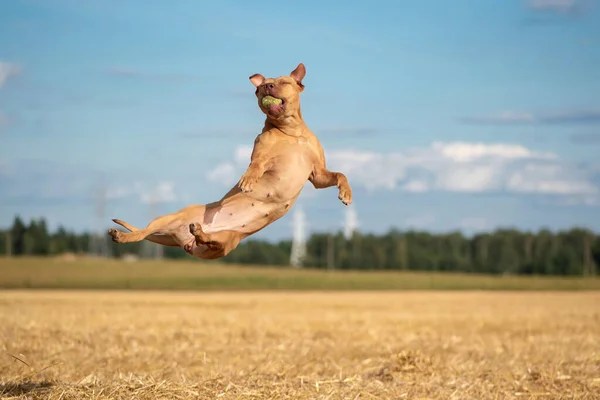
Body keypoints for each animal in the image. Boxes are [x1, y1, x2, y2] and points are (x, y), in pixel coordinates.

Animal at [107, 63, 352, 260]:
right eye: (260, 88)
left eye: (283, 82)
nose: (267, 87)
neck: (291, 132)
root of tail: (184, 239)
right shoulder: (262, 156)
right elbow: (256, 165)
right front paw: (248, 180)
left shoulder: (317, 174)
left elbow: (340, 174)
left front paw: (346, 193)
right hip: (168, 218)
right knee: (142, 233)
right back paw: (122, 236)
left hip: (226, 241)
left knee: (207, 240)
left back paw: (199, 233)